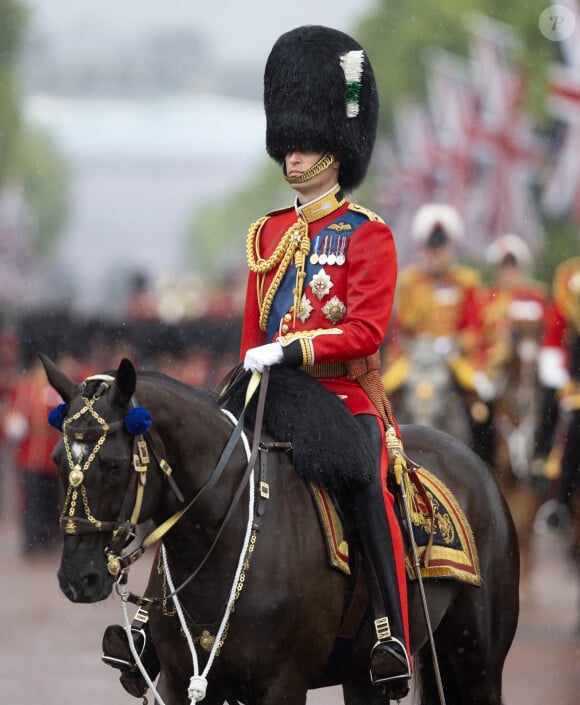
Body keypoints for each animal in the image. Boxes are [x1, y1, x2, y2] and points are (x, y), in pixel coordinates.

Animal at [43, 354, 520, 704]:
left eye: (114, 464)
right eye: (57, 459)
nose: (77, 578)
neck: (224, 539)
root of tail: (475, 462)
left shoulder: (283, 684)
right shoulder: (181, 683)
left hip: (478, 663)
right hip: (363, 678)